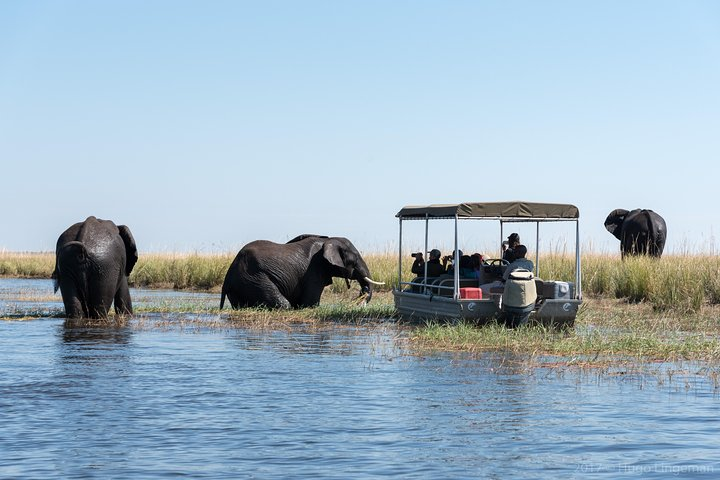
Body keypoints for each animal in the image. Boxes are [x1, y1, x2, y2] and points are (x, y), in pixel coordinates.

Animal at [219, 234, 386, 310]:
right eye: (355, 259)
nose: (360, 299)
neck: (329, 240)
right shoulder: (314, 270)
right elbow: (310, 303)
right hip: (253, 278)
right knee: (283, 304)